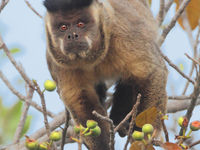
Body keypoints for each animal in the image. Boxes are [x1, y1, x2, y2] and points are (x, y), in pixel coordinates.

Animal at [43, 0, 167, 149]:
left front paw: (143, 138)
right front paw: (103, 145)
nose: (72, 35)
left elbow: (149, 75)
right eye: (63, 27)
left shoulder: (125, 35)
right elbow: (80, 100)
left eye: (80, 24)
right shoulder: (57, 62)